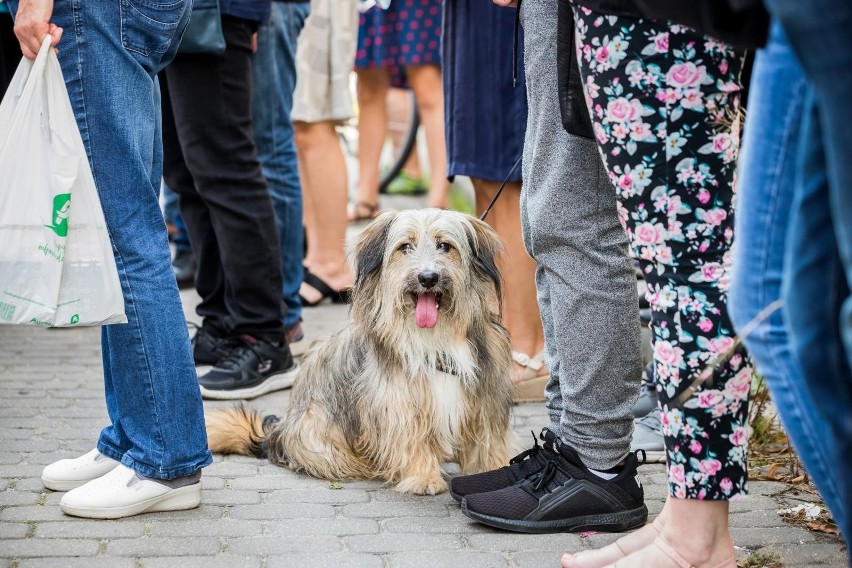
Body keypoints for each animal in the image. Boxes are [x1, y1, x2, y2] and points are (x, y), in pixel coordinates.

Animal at [206, 209, 516, 492]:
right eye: (405, 247)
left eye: (445, 246)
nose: (427, 277)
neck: (434, 337)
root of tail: (275, 435)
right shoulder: (398, 400)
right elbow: (411, 437)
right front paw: (424, 477)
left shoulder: (485, 396)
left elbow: (487, 440)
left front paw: (494, 472)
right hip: (318, 433)